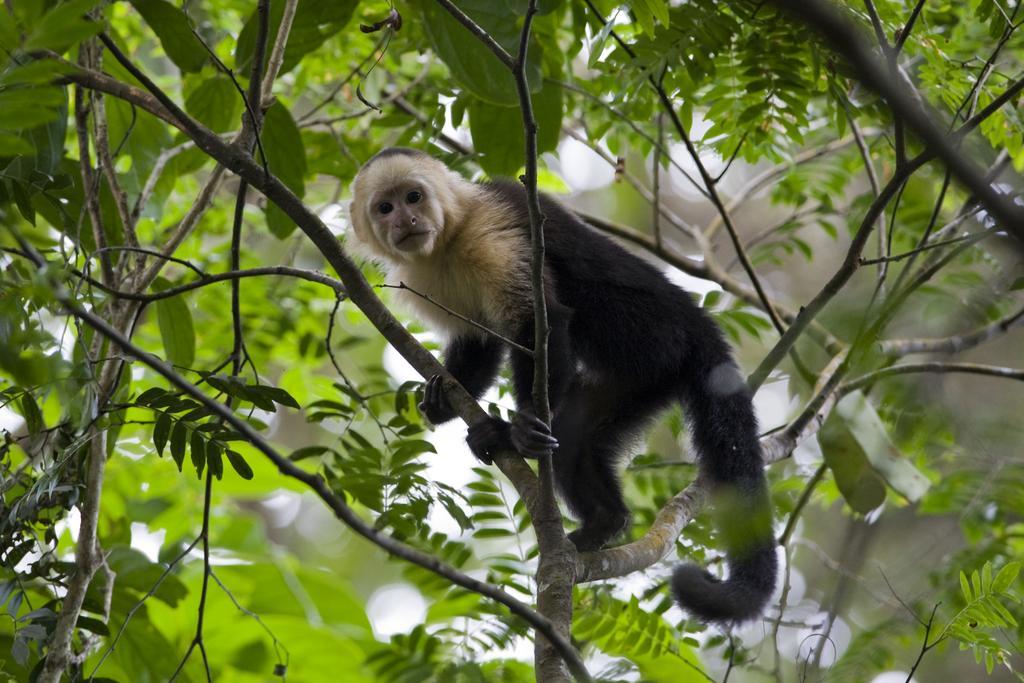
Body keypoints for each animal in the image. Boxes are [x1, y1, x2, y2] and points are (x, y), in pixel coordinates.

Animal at [350, 149, 774, 626]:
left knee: (579, 301)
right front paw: (442, 399)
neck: (447, 240)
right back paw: (604, 521)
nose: (405, 220)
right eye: (385, 208)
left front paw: (519, 427)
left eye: (414, 197)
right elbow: (480, 340)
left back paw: (510, 434)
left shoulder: (491, 228)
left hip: (651, 333)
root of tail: (697, 321)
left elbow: (539, 320)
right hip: (646, 379)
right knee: (575, 437)